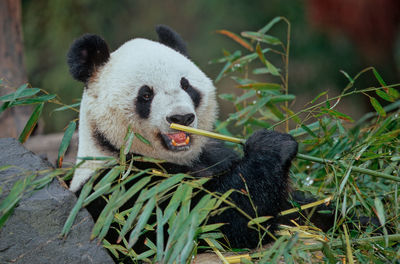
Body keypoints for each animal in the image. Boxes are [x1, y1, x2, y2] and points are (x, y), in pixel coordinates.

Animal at [66, 25, 296, 251]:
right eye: (146, 95)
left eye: (186, 85)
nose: (181, 117)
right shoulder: (121, 190)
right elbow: (209, 220)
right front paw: (271, 146)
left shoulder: (214, 154)